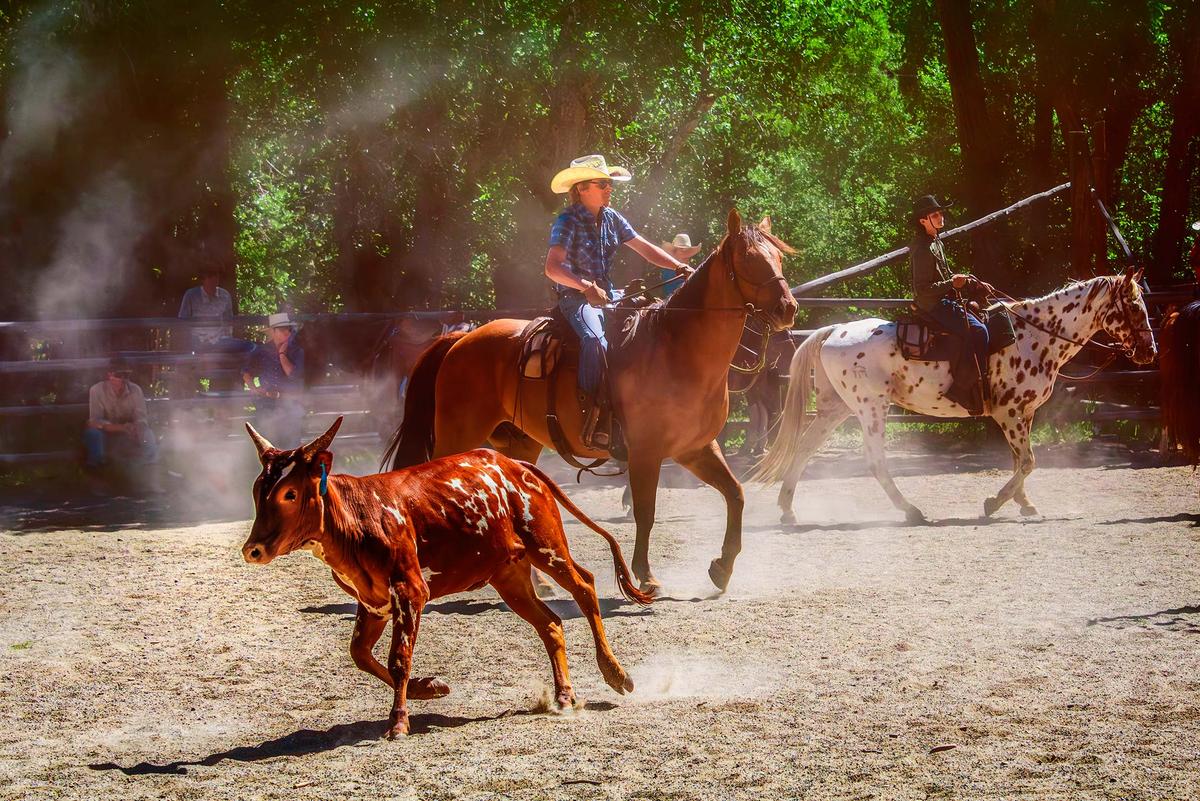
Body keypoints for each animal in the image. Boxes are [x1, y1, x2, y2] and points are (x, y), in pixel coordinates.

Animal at [384, 209, 796, 592]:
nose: (788, 308)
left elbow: (736, 493)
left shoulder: (695, 448)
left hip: (521, 443)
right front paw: (646, 575)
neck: (676, 348)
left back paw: (540, 581)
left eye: (778, 257)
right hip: (458, 435)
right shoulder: (647, 451)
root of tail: (459, 340)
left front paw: (722, 568)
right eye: (749, 258)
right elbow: (646, 511)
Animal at [753, 266, 1156, 522]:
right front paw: (994, 503)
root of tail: (833, 330)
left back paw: (787, 509)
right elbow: (1028, 462)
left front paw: (1024, 504)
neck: (1033, 336)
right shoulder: (1009, 413)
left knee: (805, 447)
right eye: (1134, 305)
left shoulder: (1022, 415)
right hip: (871, 409)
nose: (1149, 351)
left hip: (835, 408)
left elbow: (1018, 461)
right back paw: (911, 511)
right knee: (875, 461)